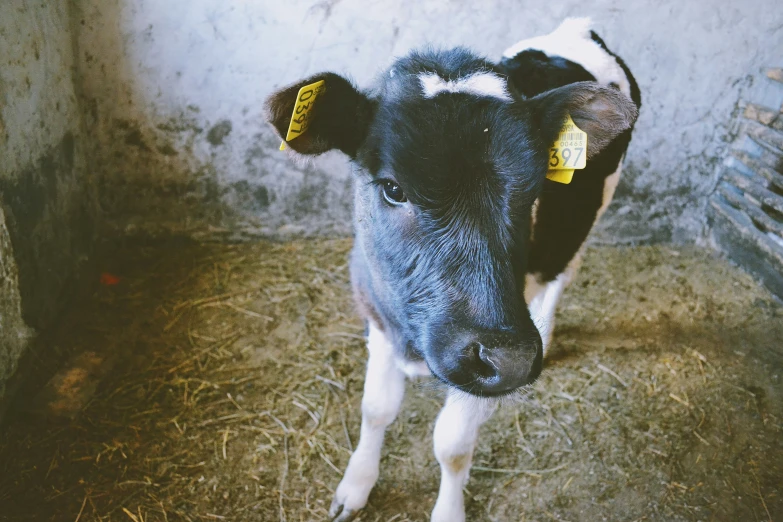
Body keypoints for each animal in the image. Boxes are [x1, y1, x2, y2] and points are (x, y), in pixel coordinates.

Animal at [266, 16, 640, 520]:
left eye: (533, 191)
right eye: (393, 188)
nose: (513, 358)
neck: (412, 341)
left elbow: (452, 445)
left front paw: (447, 508)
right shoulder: (377, 315)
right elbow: (375, 409)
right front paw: (356, 485)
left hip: (590, 215)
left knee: (563, 271)